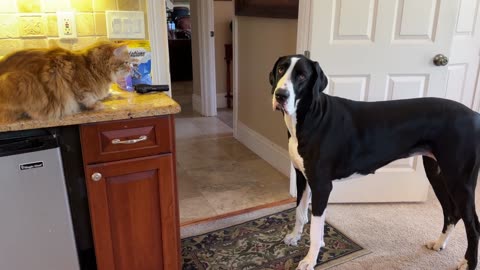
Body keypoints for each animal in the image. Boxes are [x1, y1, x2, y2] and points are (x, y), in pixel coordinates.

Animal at [0, 41, 131, 122]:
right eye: (126, 62)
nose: (131, 68)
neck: (91, 67)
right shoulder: (78, 85)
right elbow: (86, 98)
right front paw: (96, 105)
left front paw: (116, 95)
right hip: (24, 81)